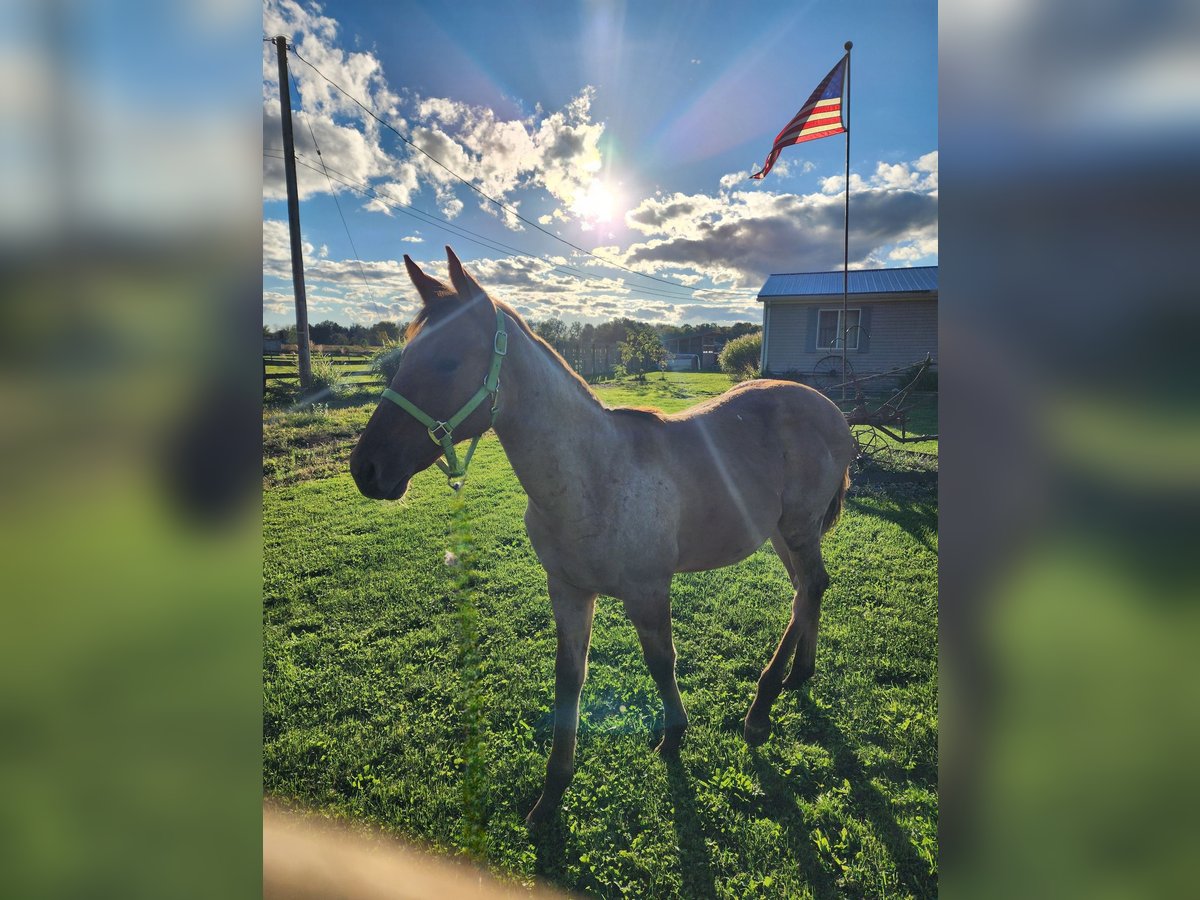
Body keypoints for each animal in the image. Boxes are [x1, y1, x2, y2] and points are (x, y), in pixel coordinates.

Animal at [350, 247, 856, 826]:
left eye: (448, 361)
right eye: (406, 355)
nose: (366, 468)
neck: (591, 477)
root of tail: (830, 409)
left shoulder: (648, 590)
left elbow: (661, 662)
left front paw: (673, 735)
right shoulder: (568, 591)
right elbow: (569, 678)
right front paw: (551, 792)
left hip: (797, 527)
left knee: (809, 587)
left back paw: (760, 708)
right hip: (781, 532)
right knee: (806, 591)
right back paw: (797, 676)